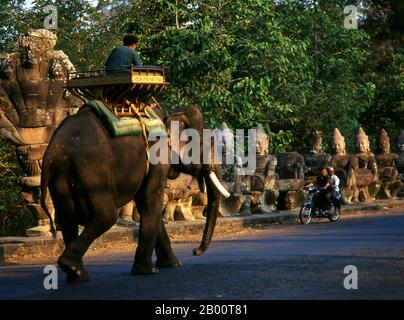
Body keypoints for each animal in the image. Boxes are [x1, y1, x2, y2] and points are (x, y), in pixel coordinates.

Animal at [40, 103, 227, 282]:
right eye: (209, 144)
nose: (195, 251)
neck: (169, 114)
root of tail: (51, 154)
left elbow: (145, 203)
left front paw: (172, 264)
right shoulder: (158, 157)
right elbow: (151, 199)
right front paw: (148, 271)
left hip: (60, 177)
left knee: (66, 218)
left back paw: (77, 275)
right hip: (91, 173)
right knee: (106, 216)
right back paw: (71, 267)